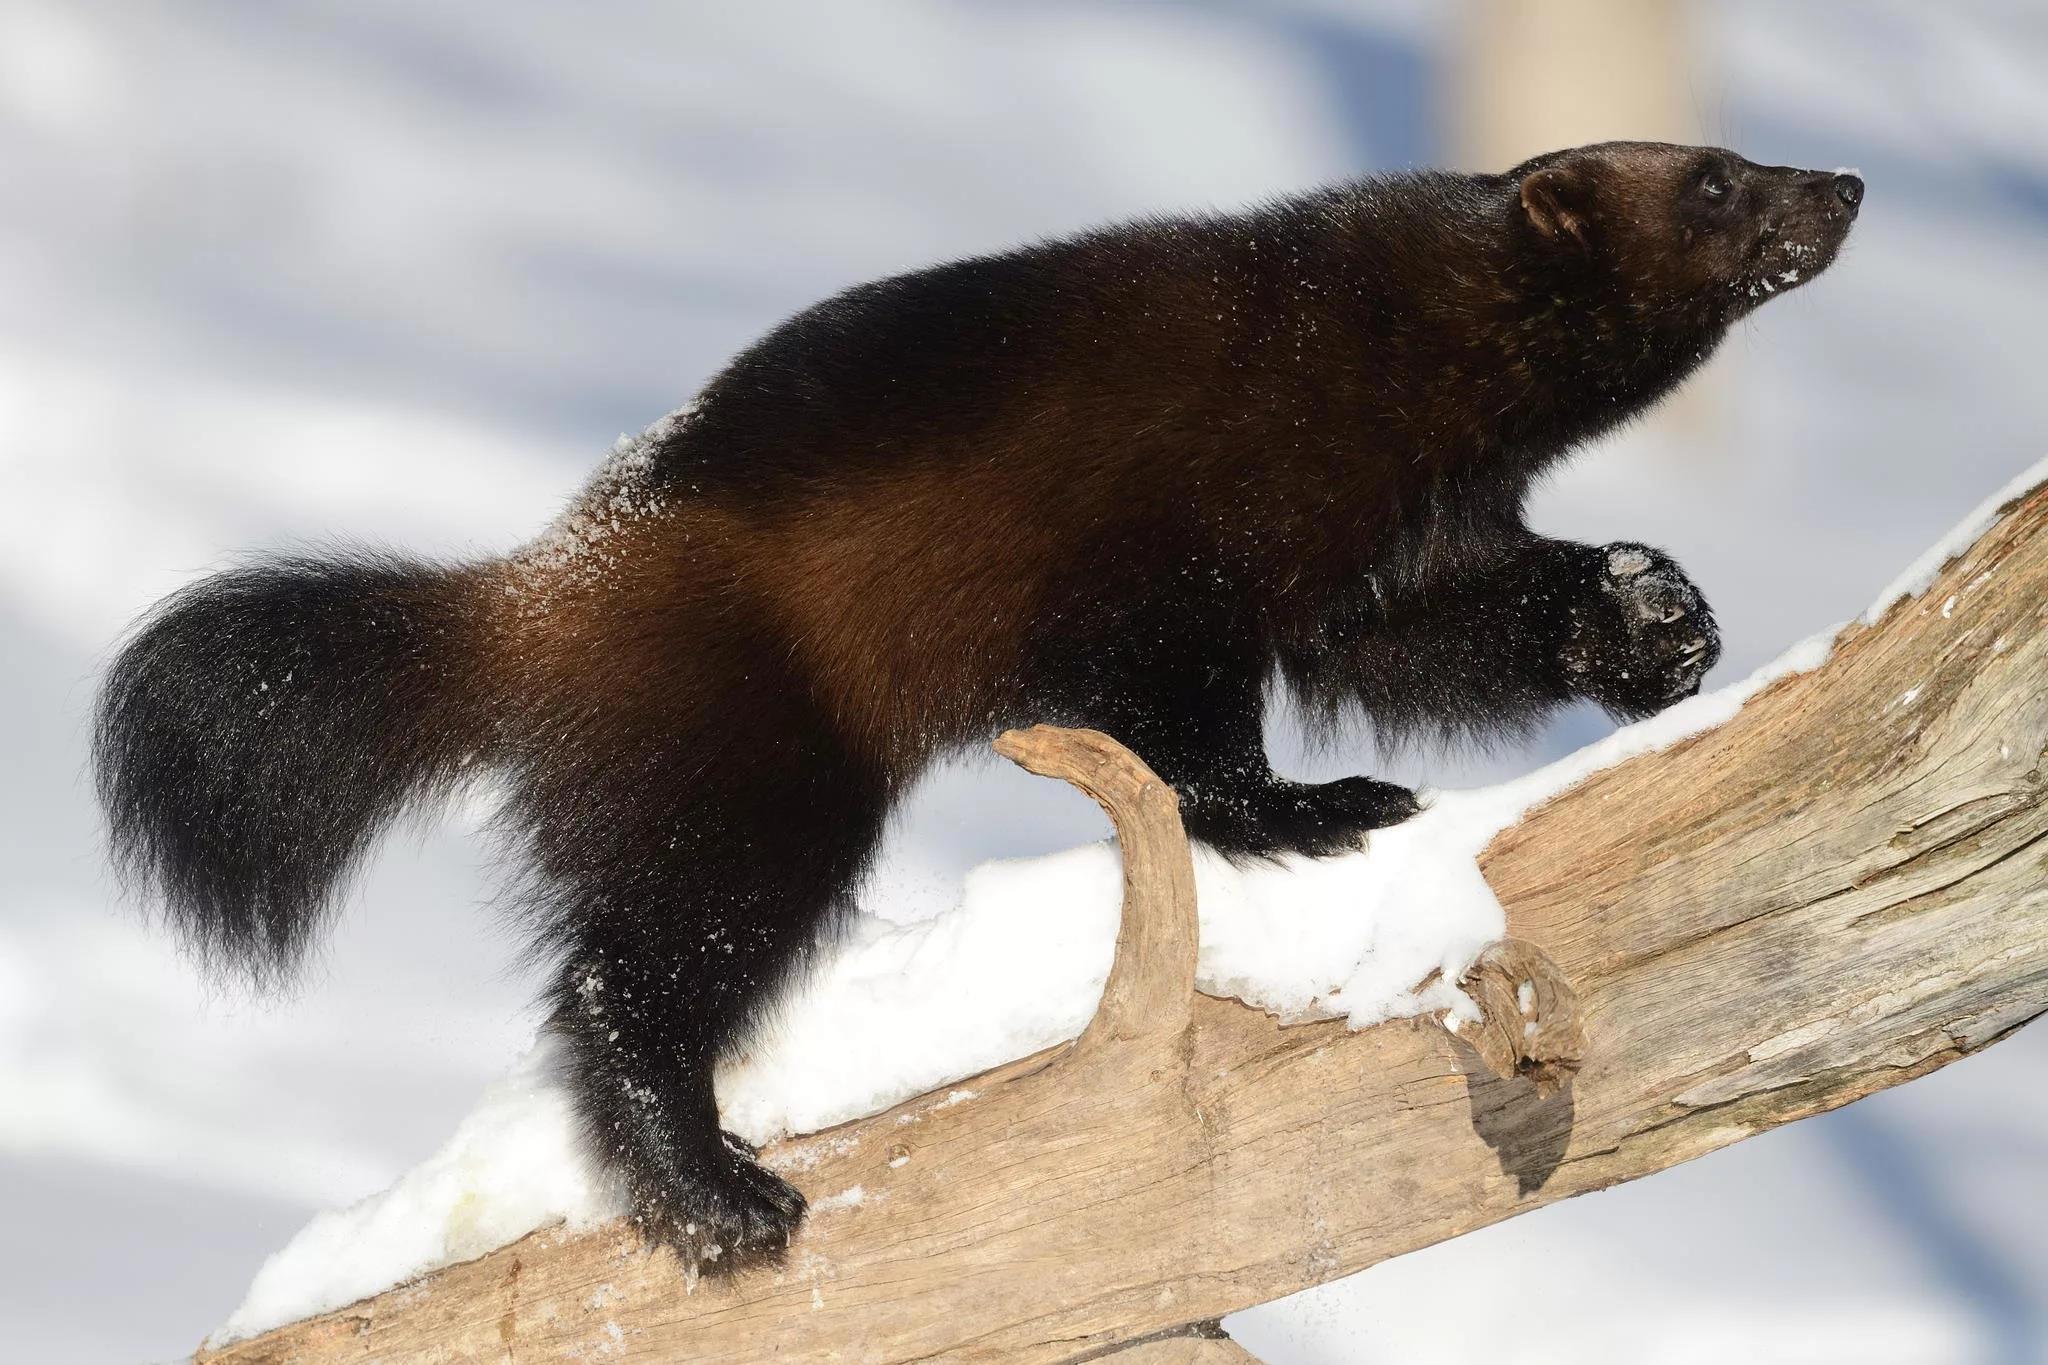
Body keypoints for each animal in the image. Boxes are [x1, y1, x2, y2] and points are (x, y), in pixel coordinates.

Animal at [95, 142, 1861, 1266]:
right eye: (1714, 175)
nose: (1841, 183)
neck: (1376, 356)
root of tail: (549, 585)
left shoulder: (1387, 537)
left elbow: (1432, 633)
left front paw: (1655, 616)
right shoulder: (1181, 539)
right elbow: (1187, 721)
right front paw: (1314, 810)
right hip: (749, 749)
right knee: (634, 967)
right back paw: (714, 1192)